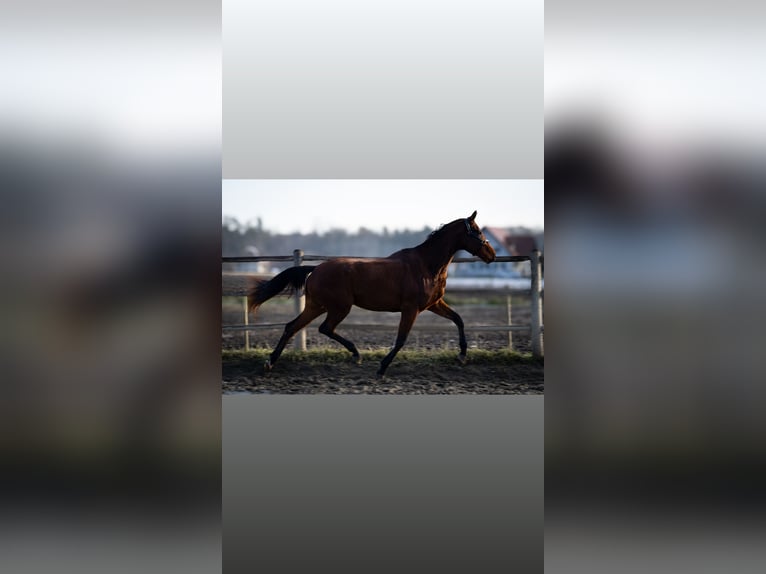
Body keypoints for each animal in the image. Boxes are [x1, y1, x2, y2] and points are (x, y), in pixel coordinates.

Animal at [248, 212, 498, 378]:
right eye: (477, 231)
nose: (492, 254)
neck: (427, 266)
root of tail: (316, 269)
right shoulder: (411, 308)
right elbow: (401, 339)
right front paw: (382, 368)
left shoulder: (434, 303)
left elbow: (458, 319)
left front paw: (463, 355)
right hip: (339, 307)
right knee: (324, 328)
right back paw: (356, 354)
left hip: (316, 306)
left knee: (292, 326)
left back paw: (270, 362)